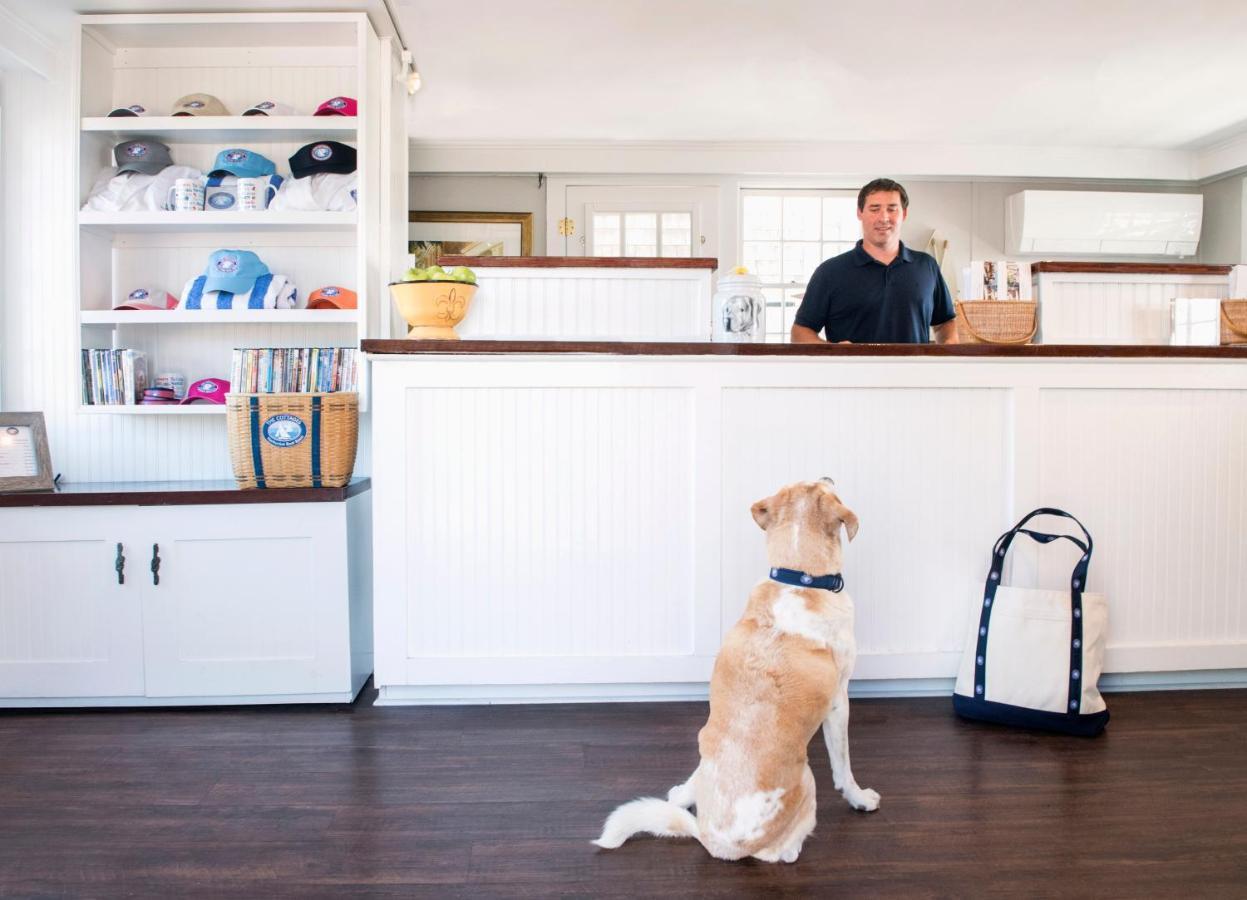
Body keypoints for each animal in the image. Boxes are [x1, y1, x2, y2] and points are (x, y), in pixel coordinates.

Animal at [593, 476, 877, 862]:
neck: (798, 579)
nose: (828, 475)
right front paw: (860, 798)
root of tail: (712, 839)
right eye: (821, 486)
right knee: (783, 853)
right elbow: (843, 766)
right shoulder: (839, 702)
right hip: (807, 782)